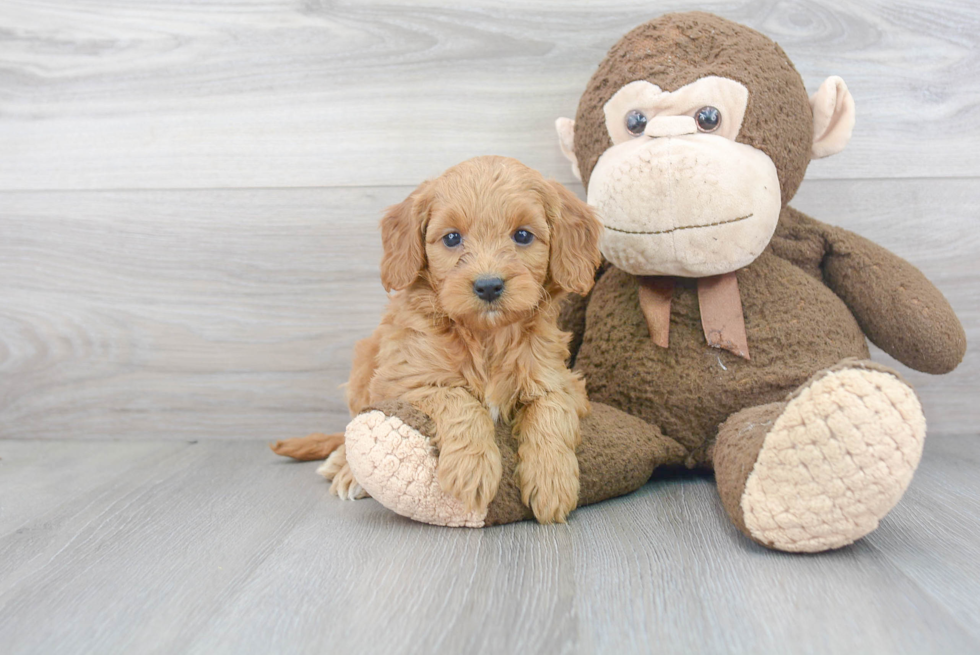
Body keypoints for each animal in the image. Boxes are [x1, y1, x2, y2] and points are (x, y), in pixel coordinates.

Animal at [276, 156, 600, 524]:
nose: (488, 286)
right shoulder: (404, 379)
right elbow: (459, 398)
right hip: (363, 365)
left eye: (522, 235)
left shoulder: (560, 379)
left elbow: (551, 410)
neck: (486, 337)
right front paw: (472, 468)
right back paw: (345, 471)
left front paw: (551, 480)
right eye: (452, 238)